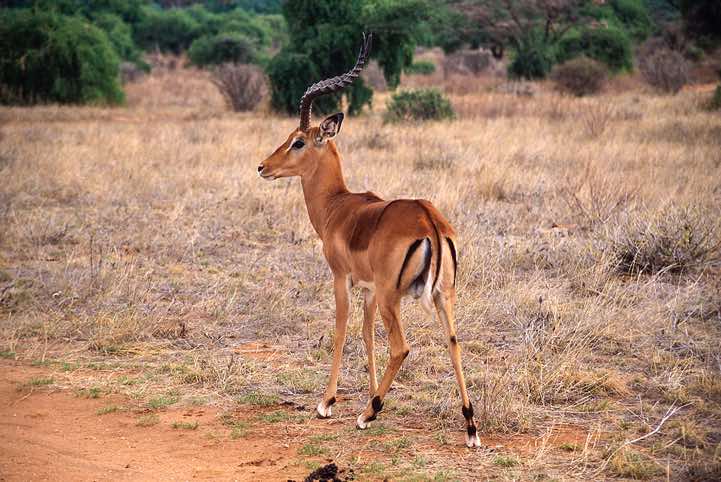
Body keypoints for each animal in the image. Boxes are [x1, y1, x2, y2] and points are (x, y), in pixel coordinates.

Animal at [257, 34, 481, 448]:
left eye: (298, 142)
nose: (262, 166)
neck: (337, 206)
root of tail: (429, 220)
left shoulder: (341, 278)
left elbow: (342, 330)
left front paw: (327, 403)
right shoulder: (370, 289)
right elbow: (366, 335)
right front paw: (372, 395)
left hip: (397, 297)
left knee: (402, 347)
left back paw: (367, 414)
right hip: (443, 295)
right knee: (454, 342)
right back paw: (471, 428)